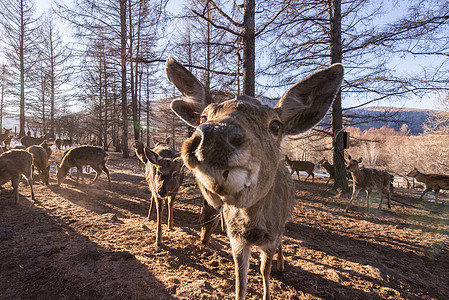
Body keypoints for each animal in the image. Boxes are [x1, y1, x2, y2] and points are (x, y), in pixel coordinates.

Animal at [164, 56, 344, 300]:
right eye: (203, 116)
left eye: (276, 125)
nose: (215, 134)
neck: (252, 227)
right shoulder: (236, 240)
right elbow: (241, 282)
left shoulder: (271, 236)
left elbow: (264, 272)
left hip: (283, 223)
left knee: (282, 243)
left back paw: (282, 265)